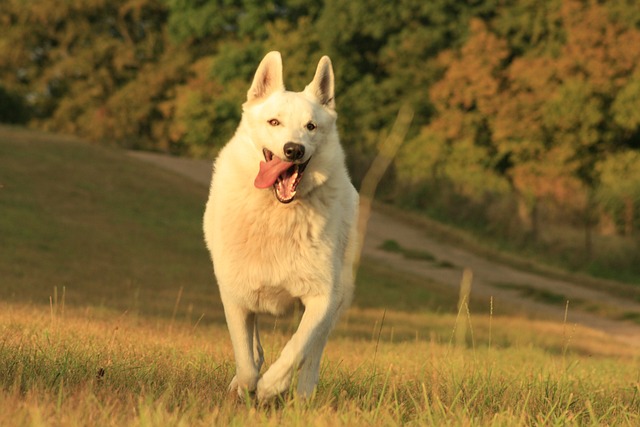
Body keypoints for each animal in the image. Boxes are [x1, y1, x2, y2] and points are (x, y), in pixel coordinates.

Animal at [202, 51, 358, 402]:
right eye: (274, 122)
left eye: (311, 126)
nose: (293, 149)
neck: (276, 213)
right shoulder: (235, 297)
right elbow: (246, 359)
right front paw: (247, 387)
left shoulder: (322, 298)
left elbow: (296, 349)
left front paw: (271, 386)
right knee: (255, 351)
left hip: (339, 298)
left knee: (312, 357)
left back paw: (301, 396)